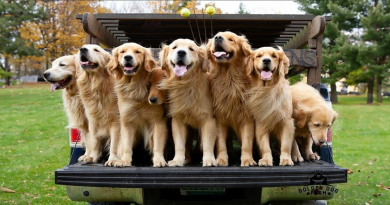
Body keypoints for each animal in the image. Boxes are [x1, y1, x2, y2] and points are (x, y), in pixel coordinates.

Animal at [159, 38, 219, 167]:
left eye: (191, 49)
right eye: (174, 47)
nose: (181, 53)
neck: (186, 85)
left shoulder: (208, 119)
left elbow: (207, 143)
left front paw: (209, 160)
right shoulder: (178, 120)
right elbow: (180, 144)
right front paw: (177, 160)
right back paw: (186, 158)